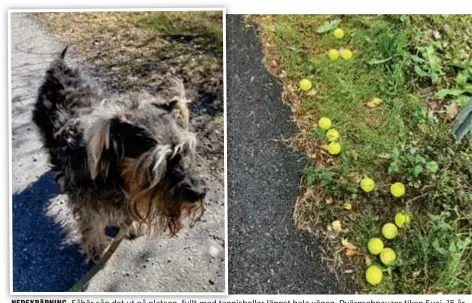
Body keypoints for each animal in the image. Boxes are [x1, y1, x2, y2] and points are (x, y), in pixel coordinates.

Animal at [33, 47, 206, 264]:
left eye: (185, 150)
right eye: (157, 163)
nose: (199, 192)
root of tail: (60, 65)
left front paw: (130, 226)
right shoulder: (87, 202)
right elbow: (91, 224)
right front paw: (96, 248)